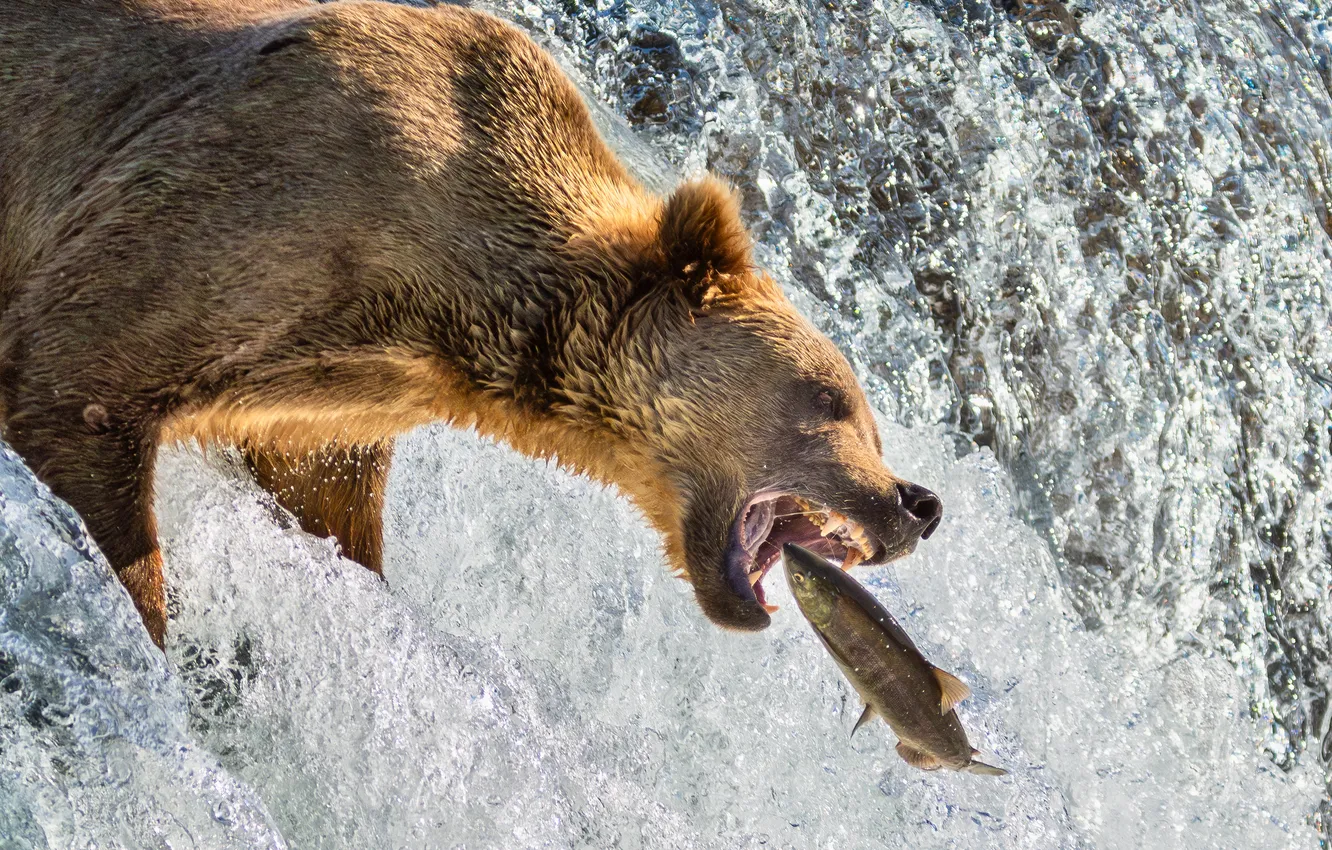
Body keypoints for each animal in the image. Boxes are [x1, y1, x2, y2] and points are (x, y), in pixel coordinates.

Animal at [0, 0, 942, 648]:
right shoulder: (265, 203)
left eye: (869, 419)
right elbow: (77, 387)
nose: (919, 502)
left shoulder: (331, 399)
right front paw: (146, 619)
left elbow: (326, 500)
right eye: (835, 399)